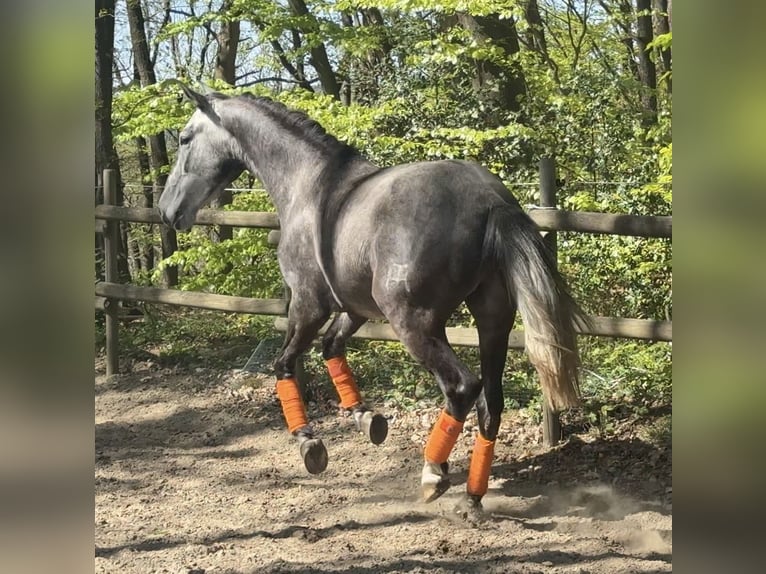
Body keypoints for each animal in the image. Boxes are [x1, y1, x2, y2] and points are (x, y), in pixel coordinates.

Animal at [158, 84, 585, 518]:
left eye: (184, 138)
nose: (167, 210)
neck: (308, 184)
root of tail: (489, 200)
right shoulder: (355, 308)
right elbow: (332, 349)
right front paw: (367, 420)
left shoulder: (308, 305)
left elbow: (284, 364)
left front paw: (309, 443)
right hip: (493, 321)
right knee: (490, 403)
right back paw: (471, 496)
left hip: (415, 323)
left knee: (462, 388)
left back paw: (432, 473)